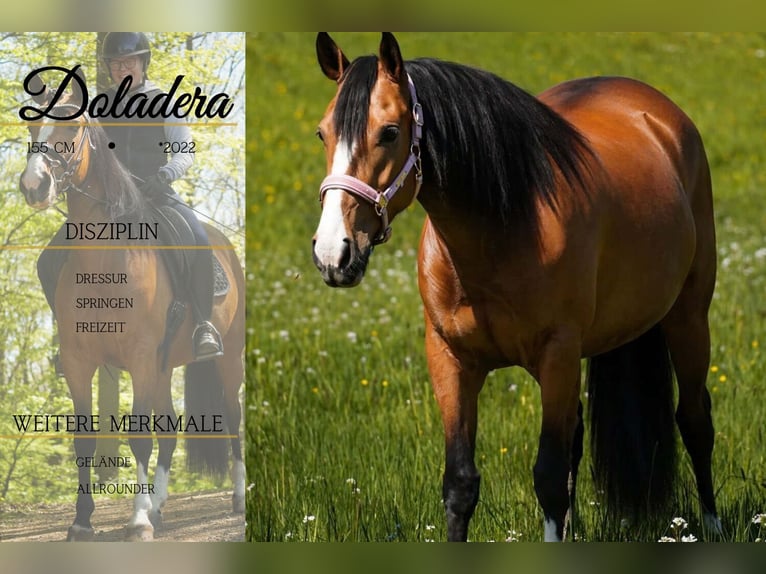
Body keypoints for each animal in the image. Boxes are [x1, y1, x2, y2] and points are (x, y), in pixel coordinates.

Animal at [18, 79, 246, 541]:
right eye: (33, 130)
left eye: (70, 132)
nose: (34, 186)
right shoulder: (79, 362)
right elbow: (85, 440)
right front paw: (82, 521)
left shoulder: (140, 359)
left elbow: (139, 437)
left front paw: (137, 520)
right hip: (163, 367)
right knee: (170, 431)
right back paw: (158, 507)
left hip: (226, 358)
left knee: (233, 419)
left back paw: (235, 499)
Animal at [311, 33, 720, 542]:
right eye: (322, 133)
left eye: (388, 132)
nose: (334, 254)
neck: (502, 232)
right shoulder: (450, 359)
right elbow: (461, 484)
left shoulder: (557, 354)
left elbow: (548, 477)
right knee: (577, 436)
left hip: (688, 318)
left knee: (695, 419)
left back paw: (714, 525)